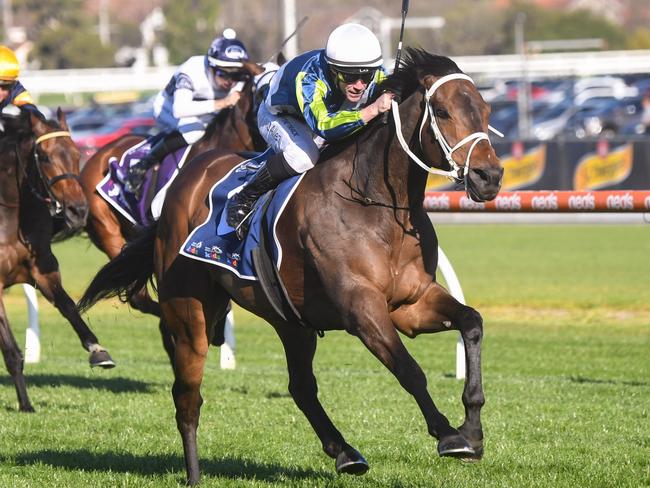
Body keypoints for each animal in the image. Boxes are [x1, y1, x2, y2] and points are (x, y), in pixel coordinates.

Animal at [0, 109, 113, 412]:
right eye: (45, 157)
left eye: (76, 153)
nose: (78, 210)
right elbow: (11, 350)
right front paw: (25, 403)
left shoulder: (43, 272)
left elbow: (69, 307)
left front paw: (98, 350)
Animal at [81, 49, 502, 484]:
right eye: (443, 111)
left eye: (486, 110)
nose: (489, 176)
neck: (375, 203)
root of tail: (188, 179)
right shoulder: (362, 309)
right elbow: (410, 369)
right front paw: (449, 435)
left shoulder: (411, 303)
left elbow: (471, 322)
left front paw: (472, 429)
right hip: (190, 312)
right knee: (187, 395)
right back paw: (195, 473)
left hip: (290, 320)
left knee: (300, 386)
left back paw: (345, 452)